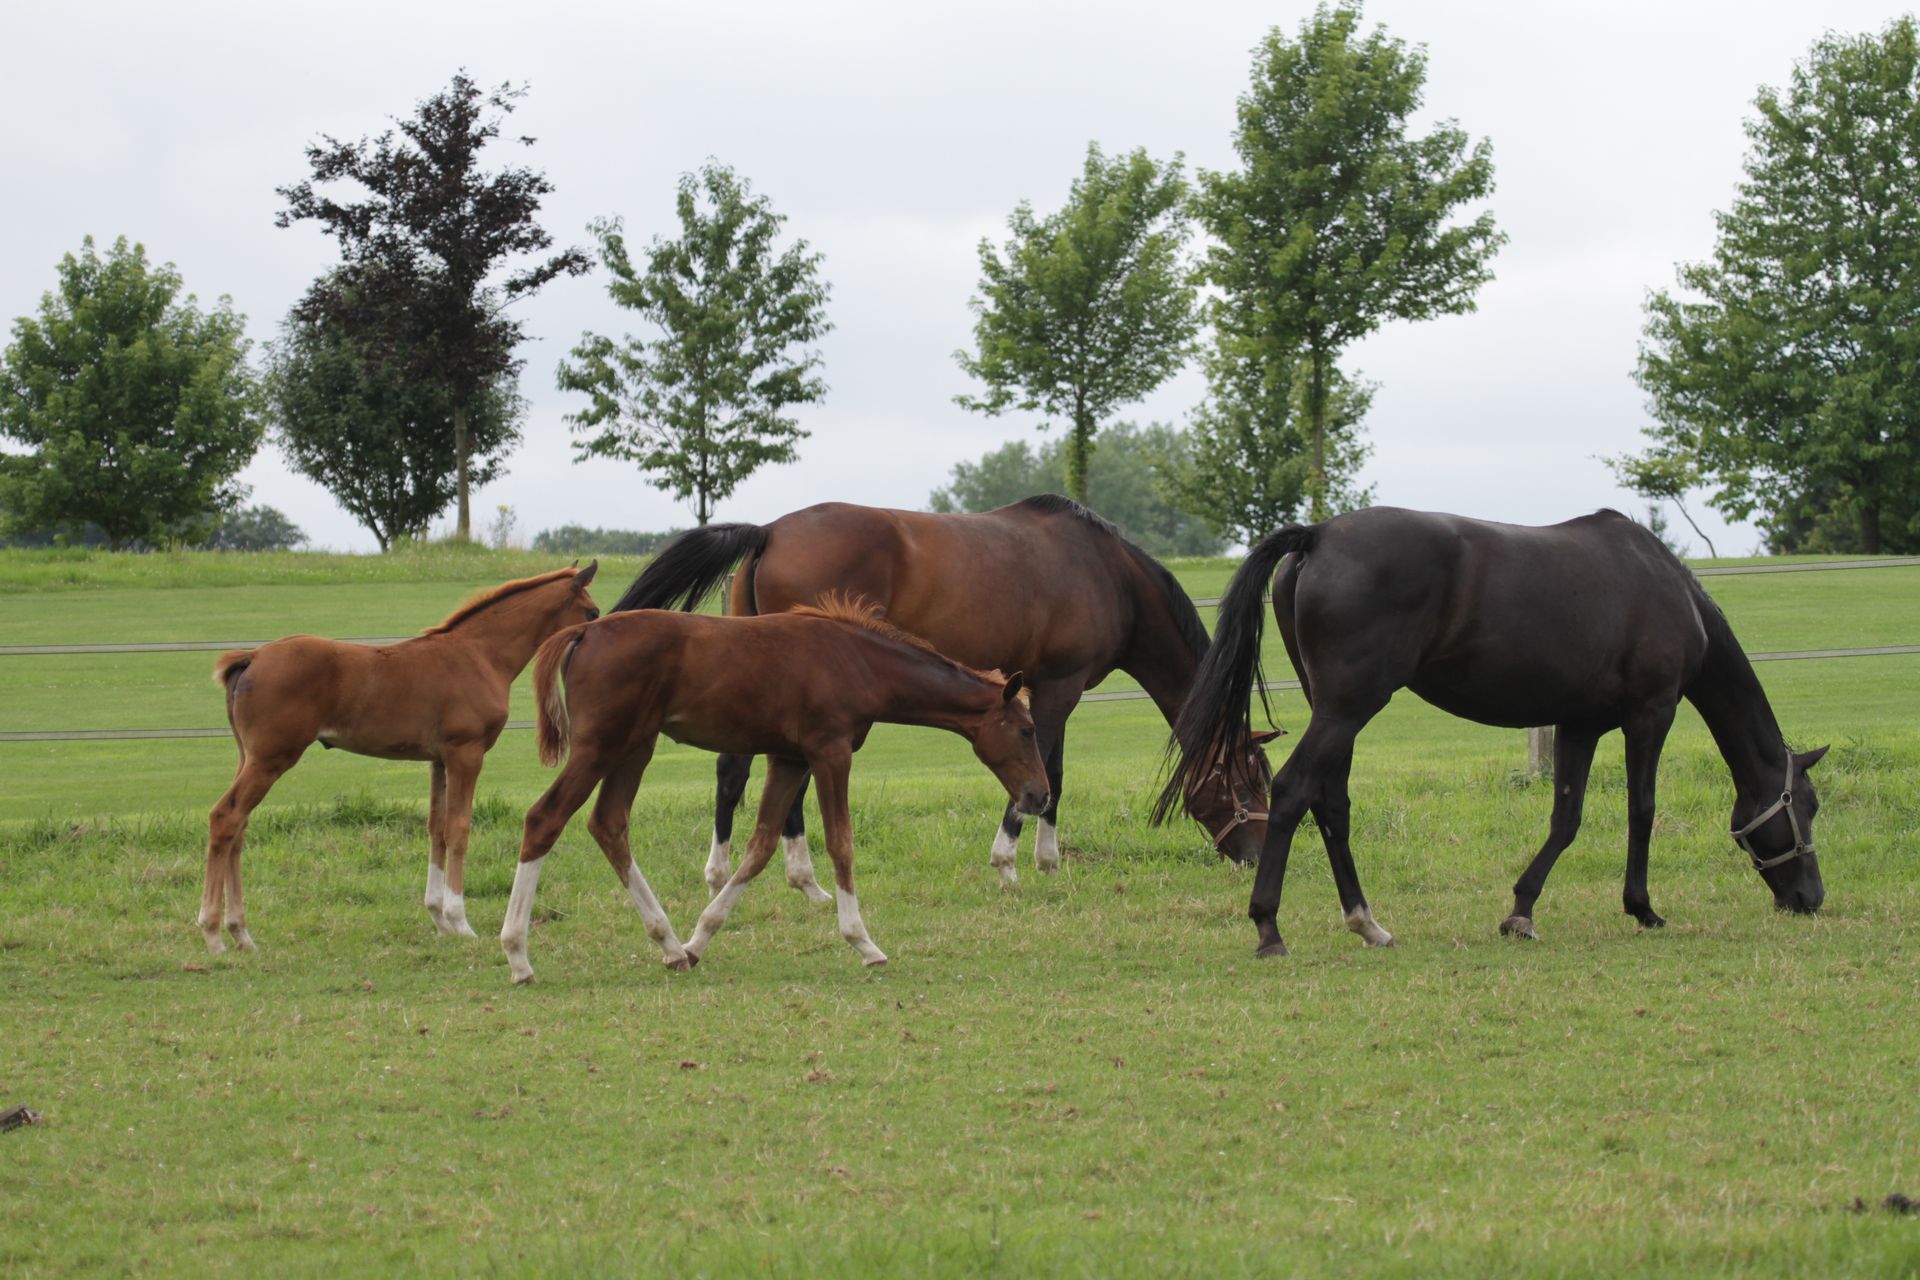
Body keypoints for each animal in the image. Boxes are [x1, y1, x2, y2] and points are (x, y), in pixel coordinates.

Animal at [200, 563, 601, 954]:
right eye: (591, 611)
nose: (597, 627)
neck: (479, 655)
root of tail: (251, 657)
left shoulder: (438, 760)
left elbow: (436, 828)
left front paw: (439, 920)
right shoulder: (465, 754)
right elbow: (459, 829)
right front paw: (460, 922)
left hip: (249, 757)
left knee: (238, 827)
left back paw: (241, 933)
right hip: (271, 759)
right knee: (225, 817)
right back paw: (213, 932)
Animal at [499, 595, 1050, 983]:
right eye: (1026, 730)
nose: (1039, 795)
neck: (857, 659)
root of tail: (585, 629)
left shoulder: (789, 759)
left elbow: (760, 845)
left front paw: (701, 937)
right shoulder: (830, 752)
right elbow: (841, 843)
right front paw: (863, 943)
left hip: (636, 746)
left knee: (609, 824)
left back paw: (671, 946)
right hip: (601, 745)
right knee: (545, 818)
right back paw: (518, 955)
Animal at [610, 496, 1273, 898]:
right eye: (1247, 783)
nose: (1256, 855)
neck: (1108, 574)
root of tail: (770, 532)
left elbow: (1050, 771)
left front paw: (1042, 859)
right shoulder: (1057, 687)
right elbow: (1046, 768)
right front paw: (1017, 861)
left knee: (736, 769)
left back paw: (746, 872)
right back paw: (794, 875)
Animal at [1155, 507, 1828, 957]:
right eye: (1808, 805)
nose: (1810, 899)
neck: (1664, 586)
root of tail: (1319, 535)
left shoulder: (1579, 724)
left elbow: (1566, 818)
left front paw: (1521, 911)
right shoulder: (1650, 714)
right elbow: (1641, 810)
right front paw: (1642, 909)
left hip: (1334, 710)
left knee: (1331, 803)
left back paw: (1367, 923)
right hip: (1347, 708)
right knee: (1296, 791)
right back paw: (1269, 927)